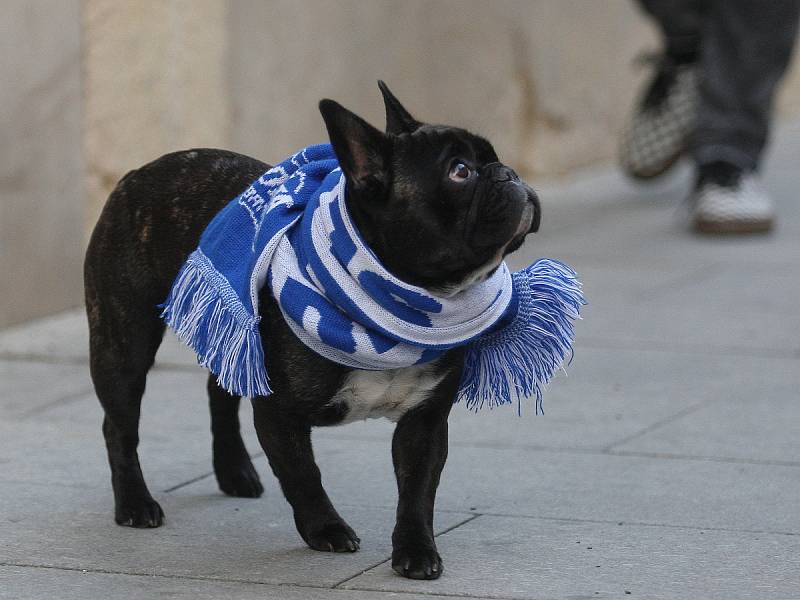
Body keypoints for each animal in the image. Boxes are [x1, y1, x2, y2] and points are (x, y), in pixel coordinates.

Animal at [84, 82, 540, 580]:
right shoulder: (280, 414)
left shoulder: (425, 421)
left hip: (234, 337)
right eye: (460, 171)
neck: (399, 302)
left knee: (219, 393)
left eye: (492, 157)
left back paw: (234, 471)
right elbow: (303, 474)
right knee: (119, 424)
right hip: (124, 342)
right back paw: (135, 503)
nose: (508, 172)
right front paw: (327, 530)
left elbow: (417, 492)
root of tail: (135, 174)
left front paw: (417, 550)